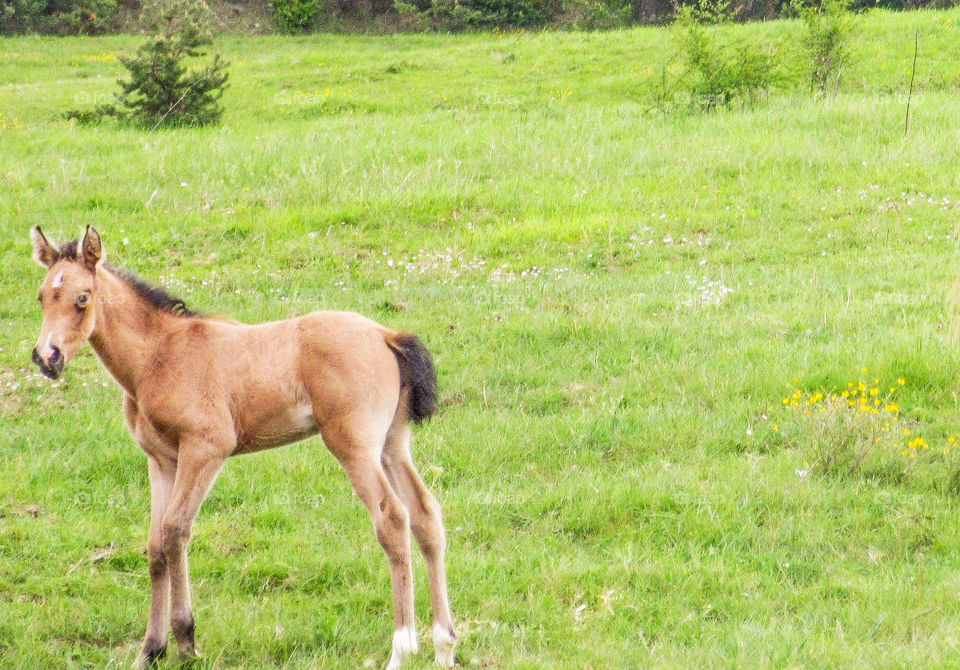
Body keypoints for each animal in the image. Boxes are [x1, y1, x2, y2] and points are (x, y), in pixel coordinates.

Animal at [29, 226, 456, 670]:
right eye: (42, 295)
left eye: (82, 297)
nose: (47, 357)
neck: (159, 355)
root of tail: (386, 336)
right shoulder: (161, 460)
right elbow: (155, 546)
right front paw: (150, 650)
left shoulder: (206, 449)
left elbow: (175, 530)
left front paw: (186, 642)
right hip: (392, 444)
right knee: (426, 514)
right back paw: (444, 646)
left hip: (354, 445)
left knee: (392, 519)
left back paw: (402, 649)